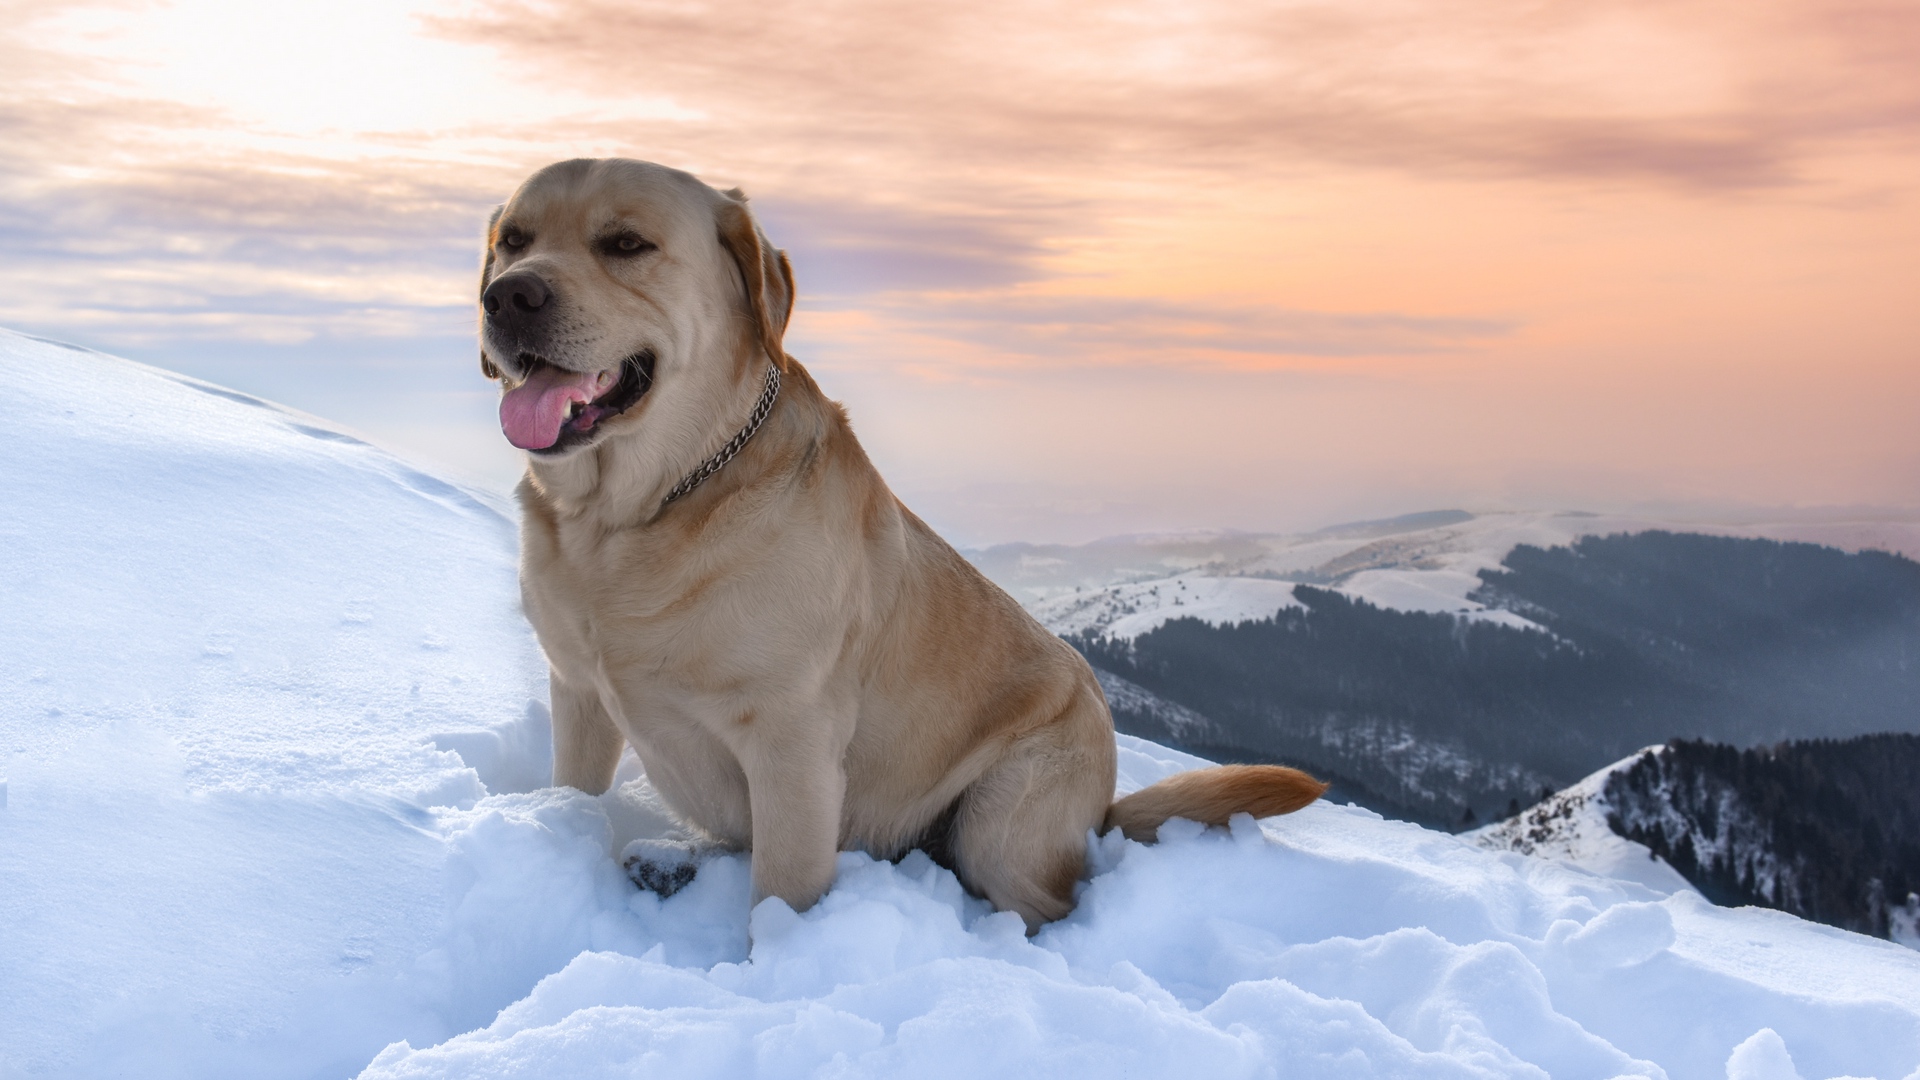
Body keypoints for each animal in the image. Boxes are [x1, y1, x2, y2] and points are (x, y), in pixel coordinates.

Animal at [478, 157, 1320, 926]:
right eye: (513, 239)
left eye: (626, 243)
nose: (508, 295)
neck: (635, 514)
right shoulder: (579, 694)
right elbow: (575, 788)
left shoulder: (793, 746)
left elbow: (780, 897)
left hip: (1003, 814)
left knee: (1046, 903)